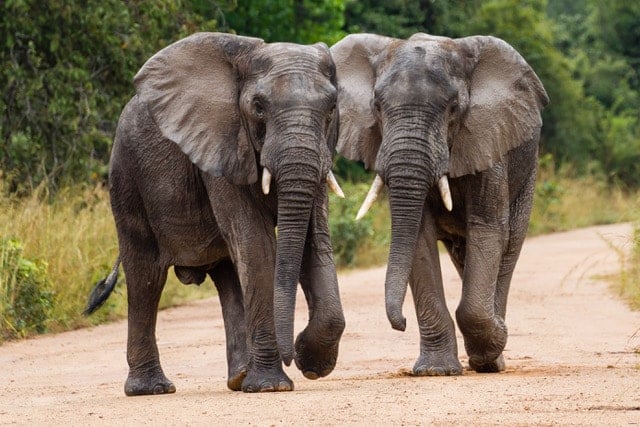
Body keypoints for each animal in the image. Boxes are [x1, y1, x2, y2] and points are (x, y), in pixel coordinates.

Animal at [84, 32, 346, 395]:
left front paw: (311, 362)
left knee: (227, 274)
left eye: (332, 107)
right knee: (145, 276)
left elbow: (314, 240)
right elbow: (258, 245)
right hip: (126, 175)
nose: (293, 353)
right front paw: (271, 386)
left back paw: (238, 378)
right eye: (258, 106)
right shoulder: (223, 147)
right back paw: (151, 389)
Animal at [330, 33, 549, 375]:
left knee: (509, 246)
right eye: (376, 106)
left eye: (454, 108)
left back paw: (494, 354)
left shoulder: (488, 141)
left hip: (527, 172)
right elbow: (418, 237)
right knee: (464, 255)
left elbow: (487, 230)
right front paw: (436, 370)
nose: (401, 323)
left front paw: (491, 345)